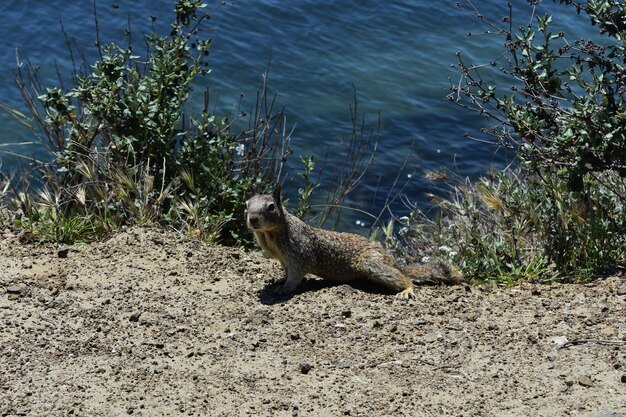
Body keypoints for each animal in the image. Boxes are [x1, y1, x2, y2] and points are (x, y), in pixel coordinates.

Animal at [246, 186, 460, 300]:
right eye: (247, 204)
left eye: (271, 207)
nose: (253, 219)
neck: (271, 234)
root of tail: (392, 260)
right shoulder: (283, 259)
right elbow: (286, 272)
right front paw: (279, 281)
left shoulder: (299, 252)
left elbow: (296, 274)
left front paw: (284, 289)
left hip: (371, 263)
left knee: (404, 278)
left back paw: (406, 289)